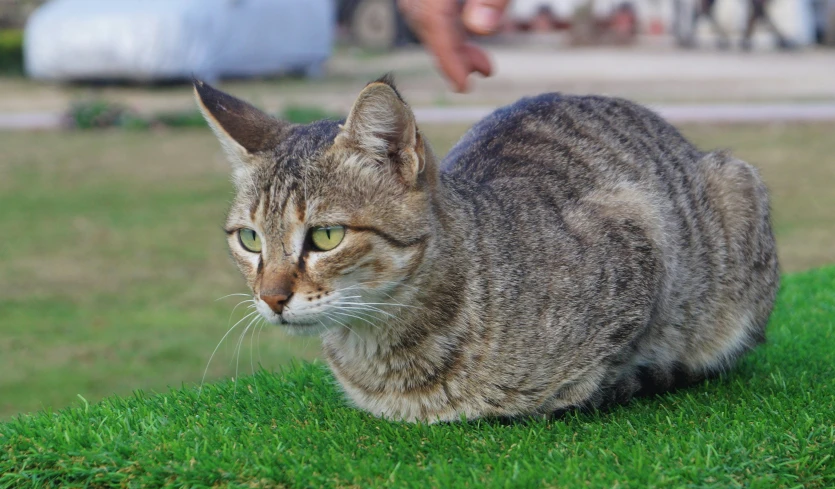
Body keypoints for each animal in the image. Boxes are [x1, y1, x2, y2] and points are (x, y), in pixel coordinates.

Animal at [193, 74, 780, 422]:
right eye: (250, 239)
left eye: (326, 236)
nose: (270, 297)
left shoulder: (641, 229)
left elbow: (596, 374)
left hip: (737, 190)